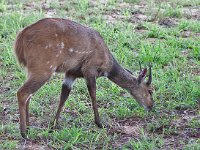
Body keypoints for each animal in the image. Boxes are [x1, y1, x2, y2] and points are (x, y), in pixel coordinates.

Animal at [14, 18, 154, 139]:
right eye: (150, 90)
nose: (151, 106)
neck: (107, 63)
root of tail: (20, 39)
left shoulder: (71, 73)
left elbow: (64, 96)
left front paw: (53, 126)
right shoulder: (89, 70)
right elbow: (93, 94)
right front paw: (100, 123)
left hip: (31, 70)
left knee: (29, 94)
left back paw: (29, 127)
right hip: (44, 68)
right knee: (22, 92)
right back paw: (23, 133)